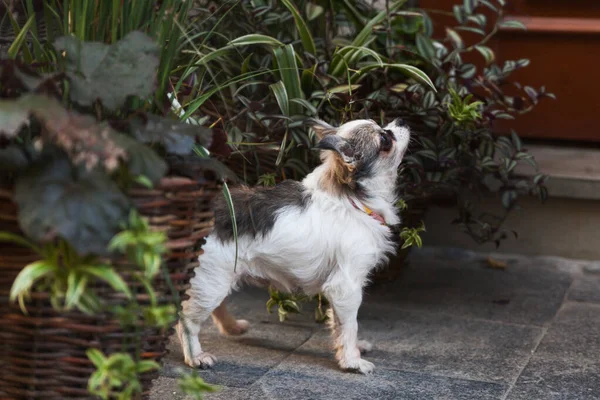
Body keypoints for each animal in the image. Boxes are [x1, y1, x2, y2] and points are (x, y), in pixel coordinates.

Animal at [176, 117, 410, 374]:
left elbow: (340, 325)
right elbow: (349, 325)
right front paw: (352, 360)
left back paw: (232, 327)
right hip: (211, 279)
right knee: (187, 321)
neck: (353, 200)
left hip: (219, 276)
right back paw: (196, 356)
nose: (400, 121)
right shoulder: (345, 286)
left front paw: (353, 348)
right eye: (385, 139)